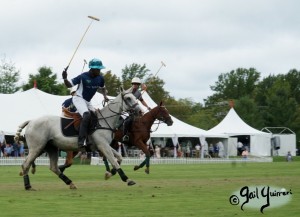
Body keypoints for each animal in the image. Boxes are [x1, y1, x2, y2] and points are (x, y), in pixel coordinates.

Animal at [15, 86, 143, 190]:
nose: (140, 111)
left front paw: (109, 174)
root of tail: (31, 121)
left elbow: (119, 158)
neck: (104, 121)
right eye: (128, 98)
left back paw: (70, 183)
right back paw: (28, 186)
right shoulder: (103, 145)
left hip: (51, 148)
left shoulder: (103, 145)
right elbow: (115, 162)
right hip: (36, 148)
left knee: (53, 167)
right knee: (26, 164)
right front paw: (127, 179)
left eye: (134, 97)